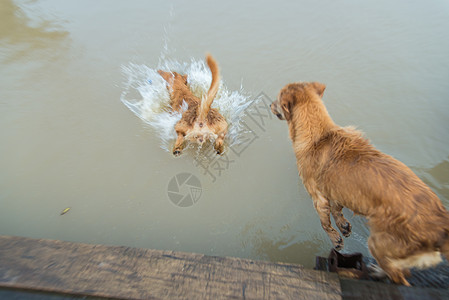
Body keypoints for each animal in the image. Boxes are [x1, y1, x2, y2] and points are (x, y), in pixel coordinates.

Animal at [270, 81, 448, 286]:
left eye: (277, 99)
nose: (269, 104)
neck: (319, 134)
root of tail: (441, 227)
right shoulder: (336, 190)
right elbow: (337, 210)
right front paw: (343, 226)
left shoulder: (318, 197)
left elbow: (325, 223)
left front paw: (336, 239)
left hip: (379, 243)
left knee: (400, 277)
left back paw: (379, 273)